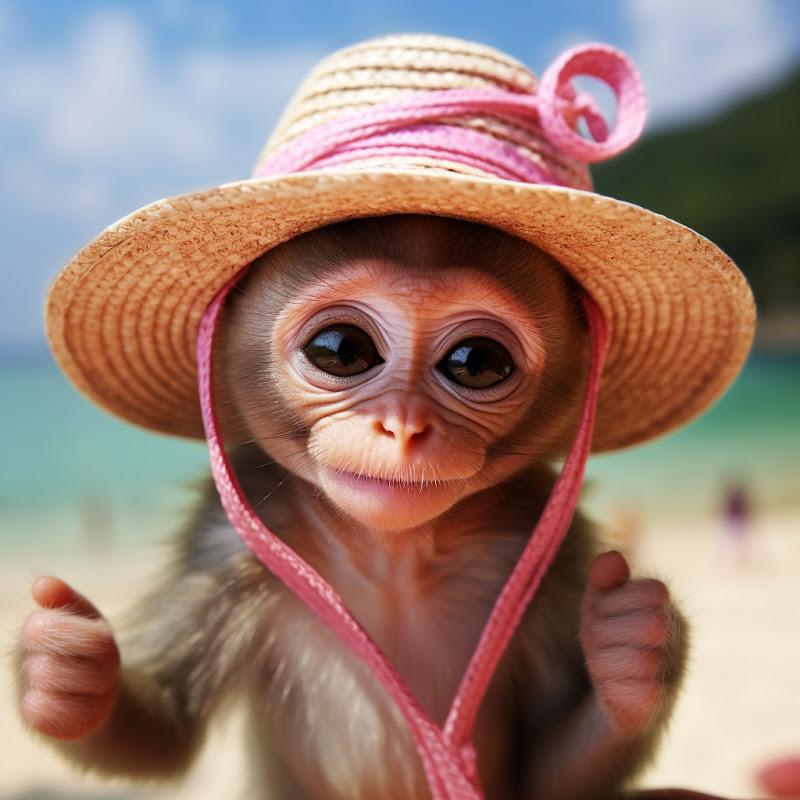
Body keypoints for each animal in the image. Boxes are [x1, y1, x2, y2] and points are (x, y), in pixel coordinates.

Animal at [16, 215, 689, 800]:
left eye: (478, 362)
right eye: (341, 350)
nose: (404, 427)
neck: (392, 558)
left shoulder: (555, 552)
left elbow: (548, 777)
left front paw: (633, 651)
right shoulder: (224, 545)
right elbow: (171, 732)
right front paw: (67, 670)